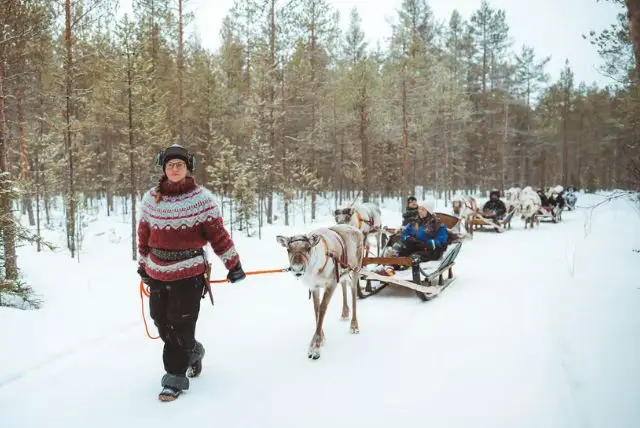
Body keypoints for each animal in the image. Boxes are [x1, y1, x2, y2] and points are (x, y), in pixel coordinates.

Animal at [276, 224, 364, 360]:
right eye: (288, 249)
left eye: (308, 248)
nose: (297, 269)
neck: (313, 270)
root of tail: (356, 229)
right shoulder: (314, 286)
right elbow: (316, 310)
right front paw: (321, 338)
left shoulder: (331, 284)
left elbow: (322, 309)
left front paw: (315, 348)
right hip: (342, 273)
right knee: (344, 284)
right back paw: (344, 313)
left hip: (356, 269)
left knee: (353, 292)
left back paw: (354, 326)